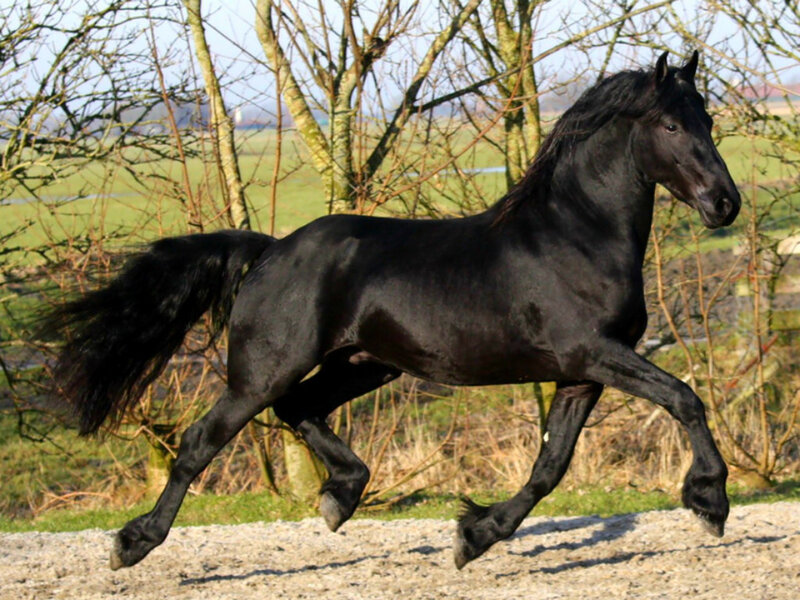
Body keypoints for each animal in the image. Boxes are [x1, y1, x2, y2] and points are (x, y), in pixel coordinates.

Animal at [43, 51, 740, 571]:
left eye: (707, 118)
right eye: (671, 126)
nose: (724, 204)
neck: (575, 235)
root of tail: (271, 250)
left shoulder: (578, 375)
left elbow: (550, 467)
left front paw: (474, 536)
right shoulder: (593, 353)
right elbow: (684, 398)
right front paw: (709, 501)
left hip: (364, 363)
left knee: (300, 410)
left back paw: (342, 495)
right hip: (264, 370)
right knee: (200, 443)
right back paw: (133, 543)